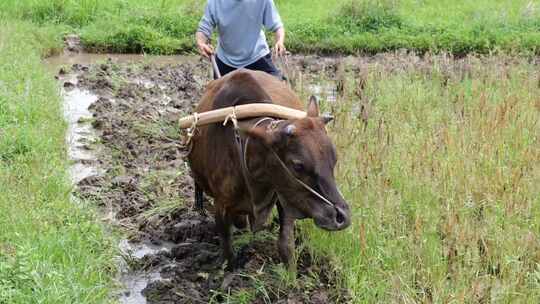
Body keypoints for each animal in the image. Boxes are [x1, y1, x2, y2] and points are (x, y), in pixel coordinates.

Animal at [188, 69, 352, 268]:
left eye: (333, 160)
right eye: (298, 165)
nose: (342, 217)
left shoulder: (286, 196)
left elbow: (286, 244)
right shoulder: (221, 204)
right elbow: (227, 249)